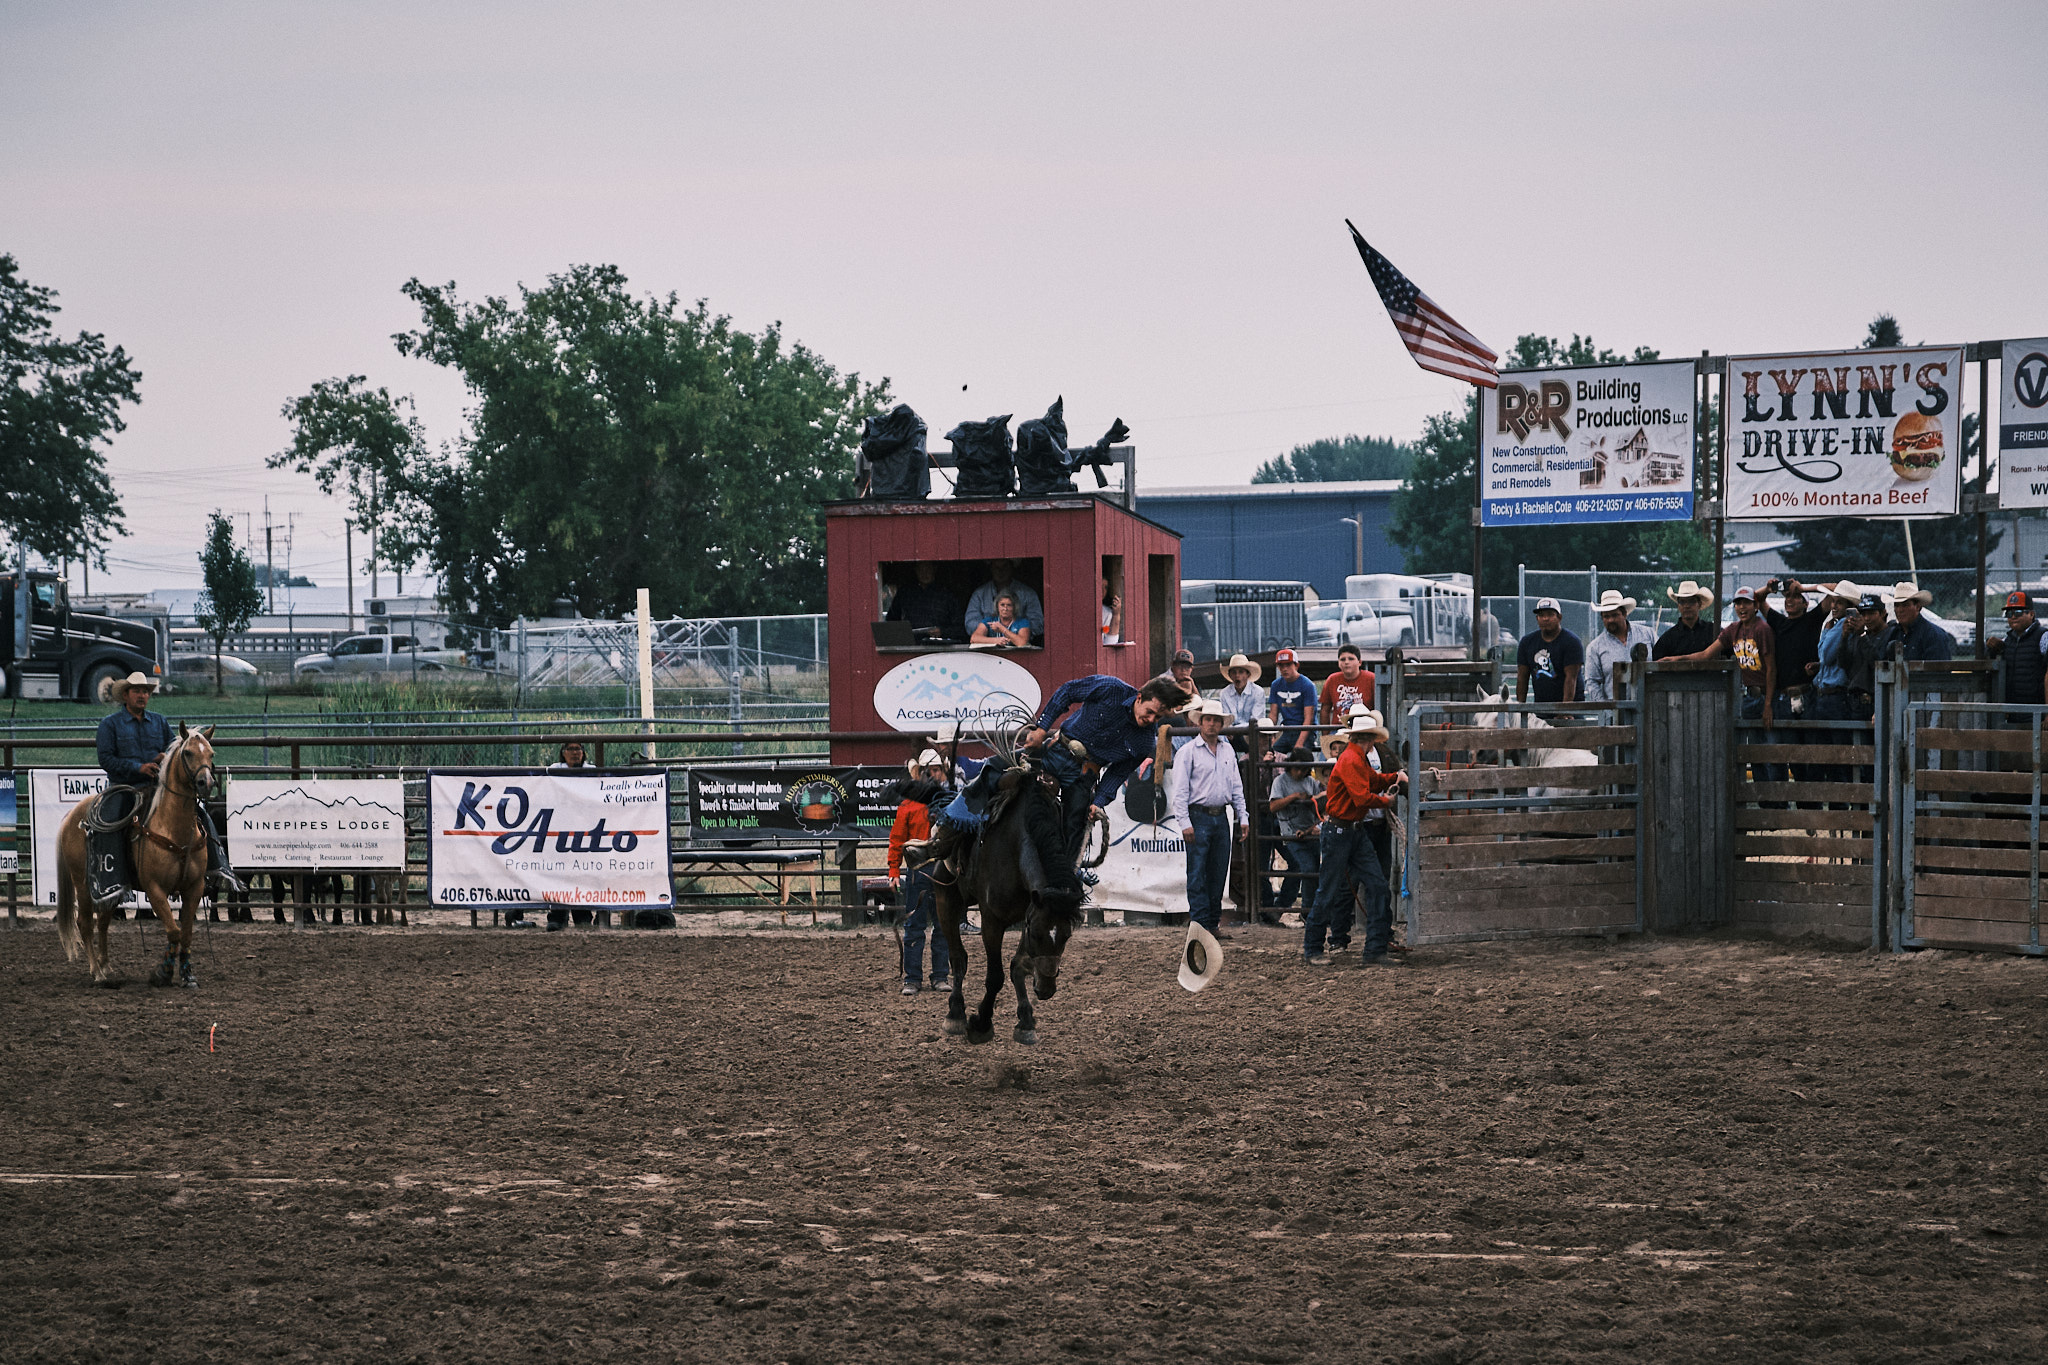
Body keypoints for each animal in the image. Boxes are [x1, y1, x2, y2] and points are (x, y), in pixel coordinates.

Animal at [55, 724, 217, 994]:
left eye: (211, 753)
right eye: (188, 753)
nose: (206, 783)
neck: (173, 828)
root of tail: (72, 815)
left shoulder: (194, 887)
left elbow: (185, 933)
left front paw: (187, 975)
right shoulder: (155, 889)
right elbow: (173, 931)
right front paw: (162, 974)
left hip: (111, 887)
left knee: (103, 923)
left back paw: (107, 967)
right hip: (83, 884)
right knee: (85, 923)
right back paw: (98, 973)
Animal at [933, 753, 1089, 1055]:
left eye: (1066, 935)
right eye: (1038, 935)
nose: (1047, 989)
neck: (1017, 845)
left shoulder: (1028, 913)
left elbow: (1019, 966)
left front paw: (1026, 1022)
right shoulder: (992, 920)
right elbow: (995, 976)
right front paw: (981, 1024)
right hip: (946, 897)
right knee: (957, 957)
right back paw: (955, 1015)